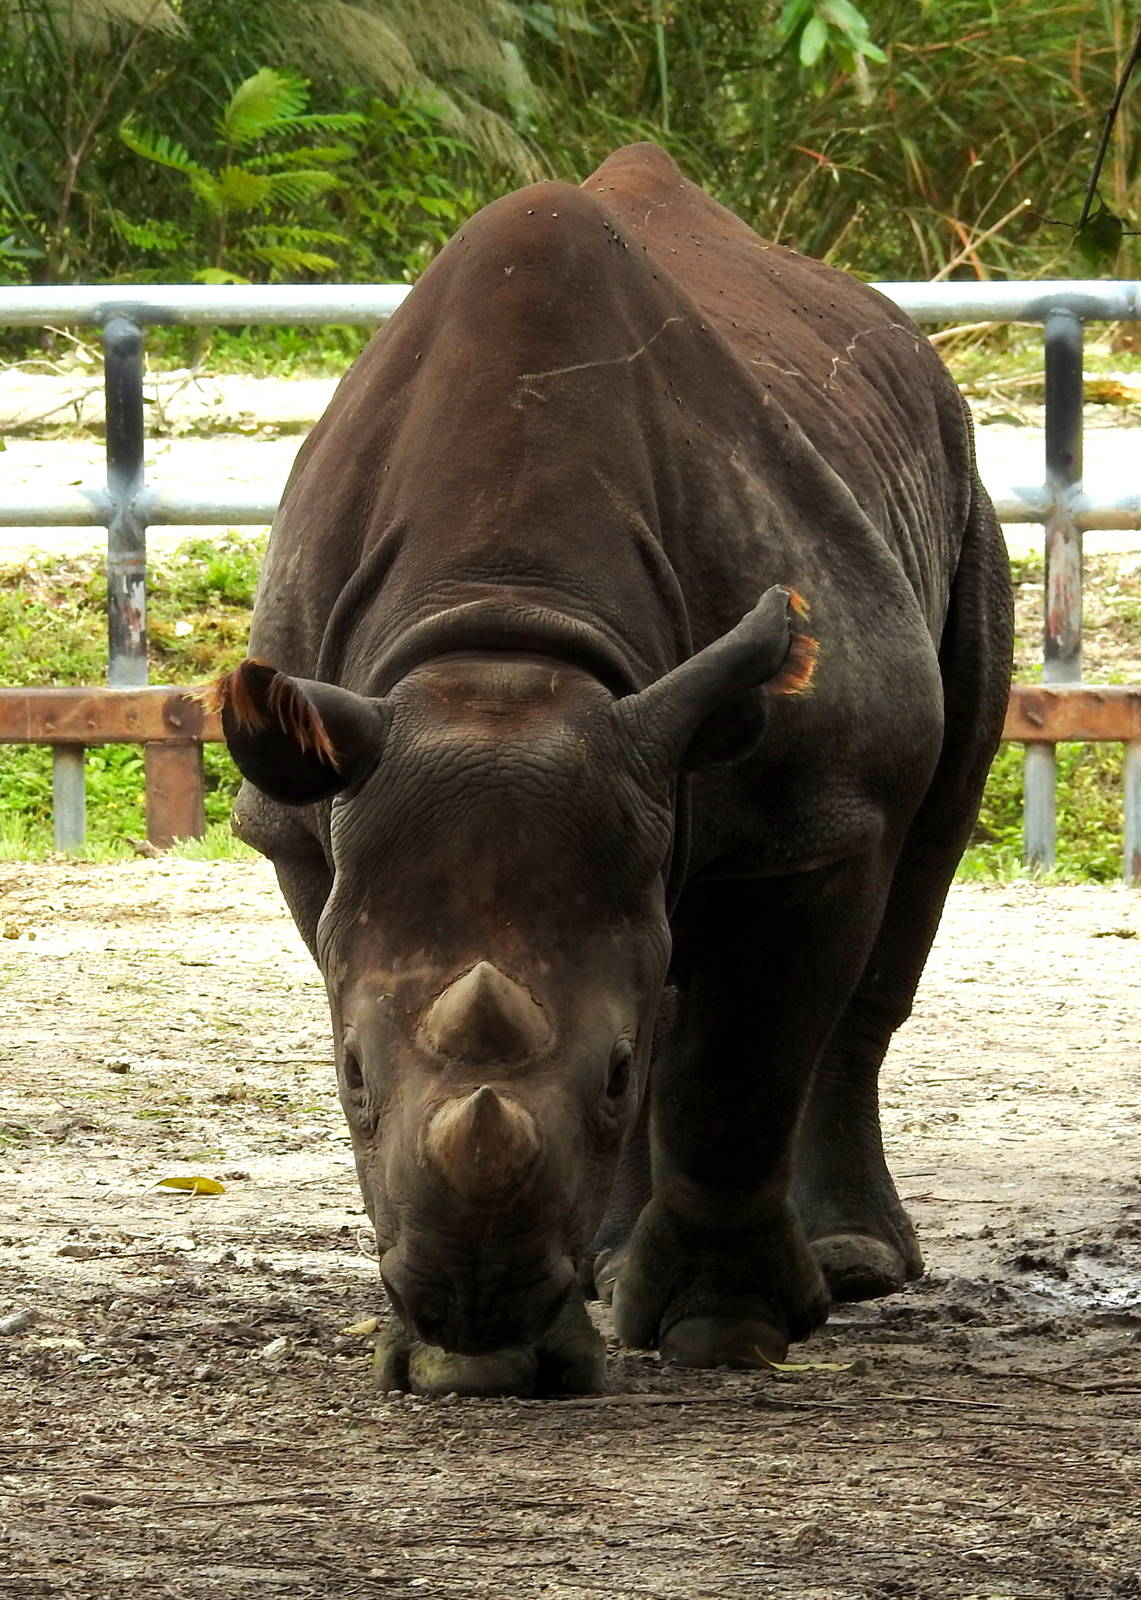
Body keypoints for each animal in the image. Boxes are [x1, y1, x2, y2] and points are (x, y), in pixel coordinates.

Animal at [214, 143, 1013, 1396]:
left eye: (611, 1073)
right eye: (344, 1078)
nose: (475, 1318)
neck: (508, 634)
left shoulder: (816, 814)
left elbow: (735, 1075)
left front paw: (726, 1332)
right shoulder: (310, 816)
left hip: (965, 502)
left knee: (919, 859)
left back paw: (853, 1264)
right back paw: (603, 1260)